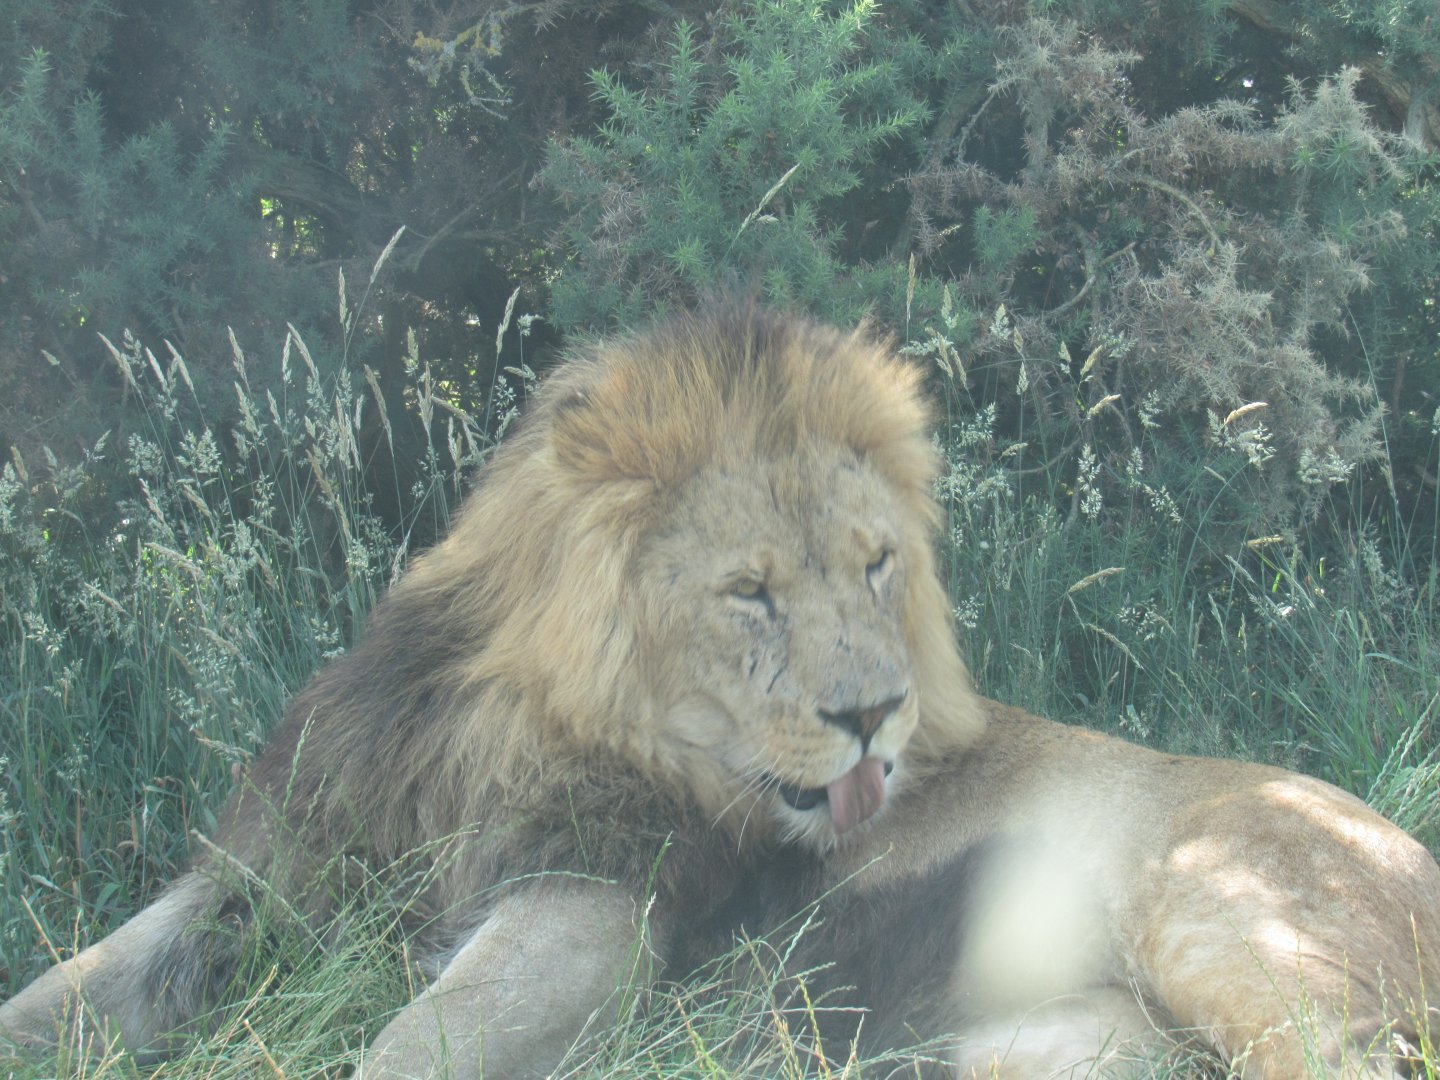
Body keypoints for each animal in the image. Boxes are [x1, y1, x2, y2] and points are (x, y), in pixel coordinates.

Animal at [1, 305, 1436, 1080]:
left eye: (877, 564)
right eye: (750, 591)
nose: (878, 716)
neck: (507, 736)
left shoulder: (601, 913)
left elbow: (407, 1046)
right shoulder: (270, 872)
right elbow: (58, 996)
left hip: (1232, 921)